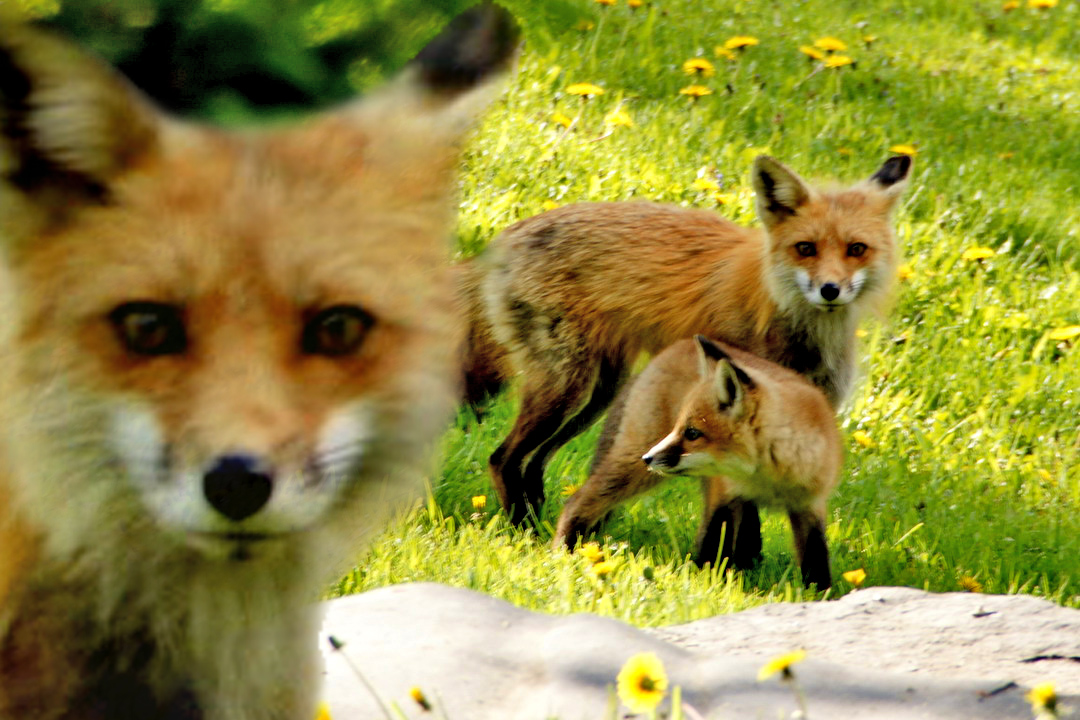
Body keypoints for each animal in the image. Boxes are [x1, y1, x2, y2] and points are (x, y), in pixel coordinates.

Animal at [466, 154, 910, 526]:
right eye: (806, 248)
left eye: (856, 249)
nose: (830, 290)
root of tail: (507, 236)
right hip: (567, 388)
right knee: (504, 458)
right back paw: (522, 529)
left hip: (598, 394)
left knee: (535, 461)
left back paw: (541, 521)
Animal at [554, 335, 842, 589]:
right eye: (679, 428)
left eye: (692, 433)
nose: (648, 457)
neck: (768, 477)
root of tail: (674, 346)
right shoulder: (724, 494)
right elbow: (712, 548)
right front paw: (708, 585)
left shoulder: (810, 505)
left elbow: (816, 559)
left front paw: (820, 595)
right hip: (633, 470)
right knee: (576, 502)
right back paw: (562, 551)